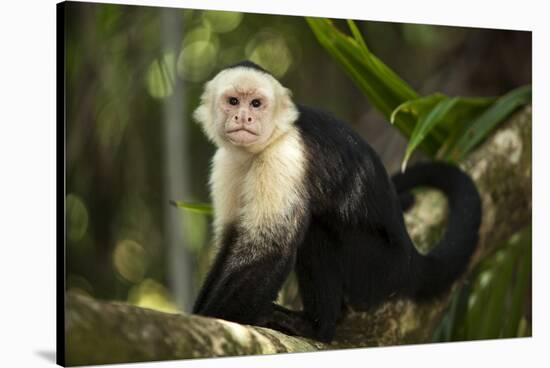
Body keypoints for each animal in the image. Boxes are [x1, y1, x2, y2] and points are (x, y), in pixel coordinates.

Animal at [191, 60, 484, 342]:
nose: (244, 116)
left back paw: (316, 328)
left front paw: (217, 317)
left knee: (316, 230)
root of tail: (409, 259)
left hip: (375, 269)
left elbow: (268, 248)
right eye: (233, 101)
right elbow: (231, 240)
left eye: (256, 103)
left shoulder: (285, 154)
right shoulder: (225, 161)